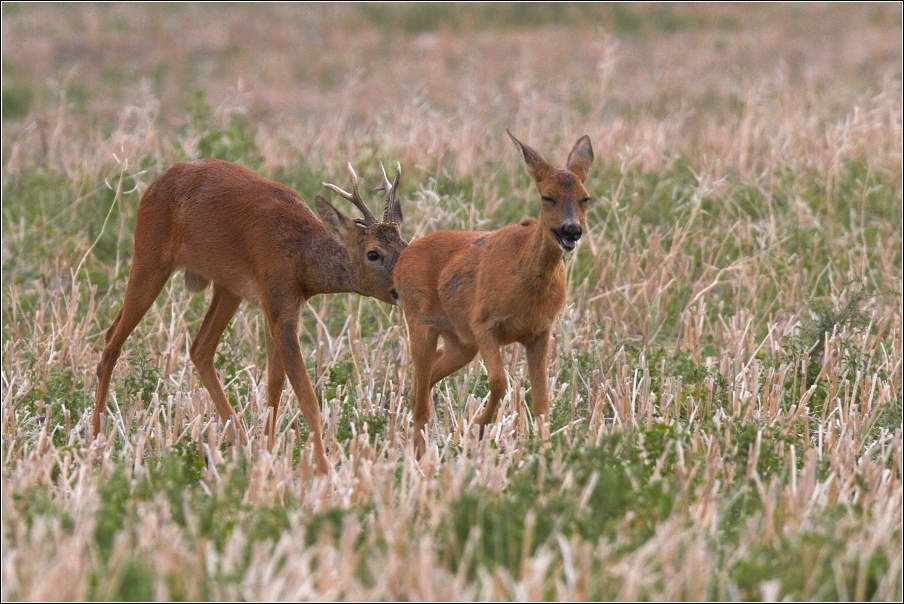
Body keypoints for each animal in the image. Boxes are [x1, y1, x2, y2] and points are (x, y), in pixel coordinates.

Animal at [92, 158, 406, 474]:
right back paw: (96, 440)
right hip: (149, 256)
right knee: (112, 340)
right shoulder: (281, 307)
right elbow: (307, 397)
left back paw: (240, 442)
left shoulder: (277, 306)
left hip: (227, 286)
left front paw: (267, 451)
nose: (403, 288)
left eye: (404, 244)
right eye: (373, 253)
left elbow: (274, 383)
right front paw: (323, 470)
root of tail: (155, 184)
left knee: (199, 348)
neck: (303, 258)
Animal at [390, 130, 588, 456]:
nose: (572, 230)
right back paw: (420, 451)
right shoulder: (484, 322)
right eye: (547, 196)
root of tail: (403, 256)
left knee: (426, 377)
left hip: (461, 341)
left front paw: (545, 448)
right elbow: (498, 381)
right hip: (419, 320)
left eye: (586, 198)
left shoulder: (541, 331)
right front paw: (477, 429)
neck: (528, 291)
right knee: (420, 386)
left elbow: (542, 398)